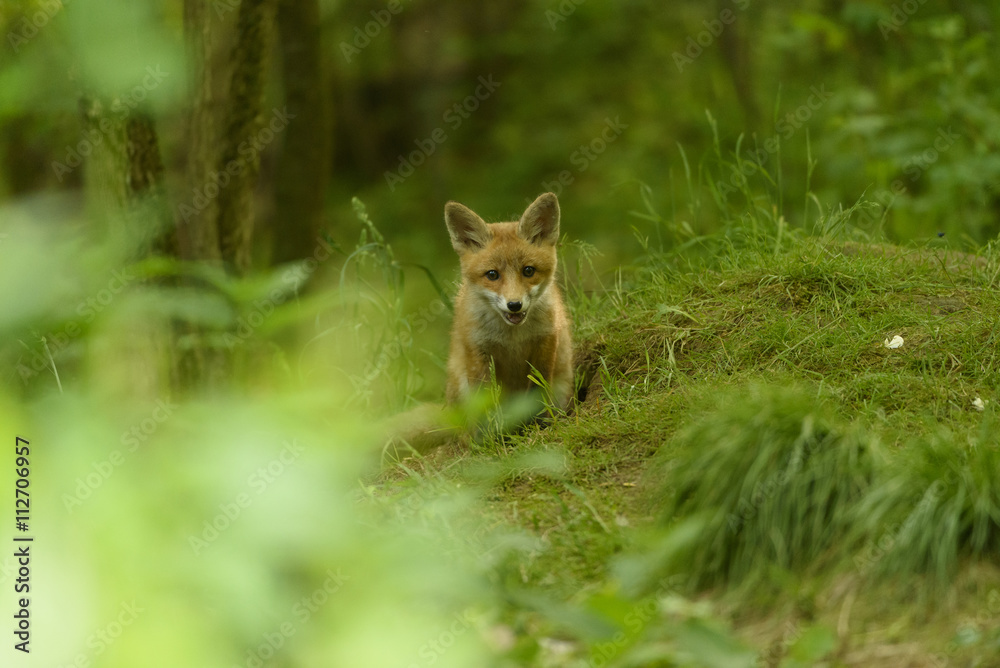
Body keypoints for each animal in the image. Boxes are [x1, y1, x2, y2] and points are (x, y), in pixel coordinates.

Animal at [443, 192, 574, 412]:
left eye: (528, 270)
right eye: (492, 274)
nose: (514, 305)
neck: (513, 338)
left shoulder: (546, 342)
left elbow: (538, 392)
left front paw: (539, 419)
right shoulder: (477, 351)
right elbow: (484, 401)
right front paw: (490, 423)